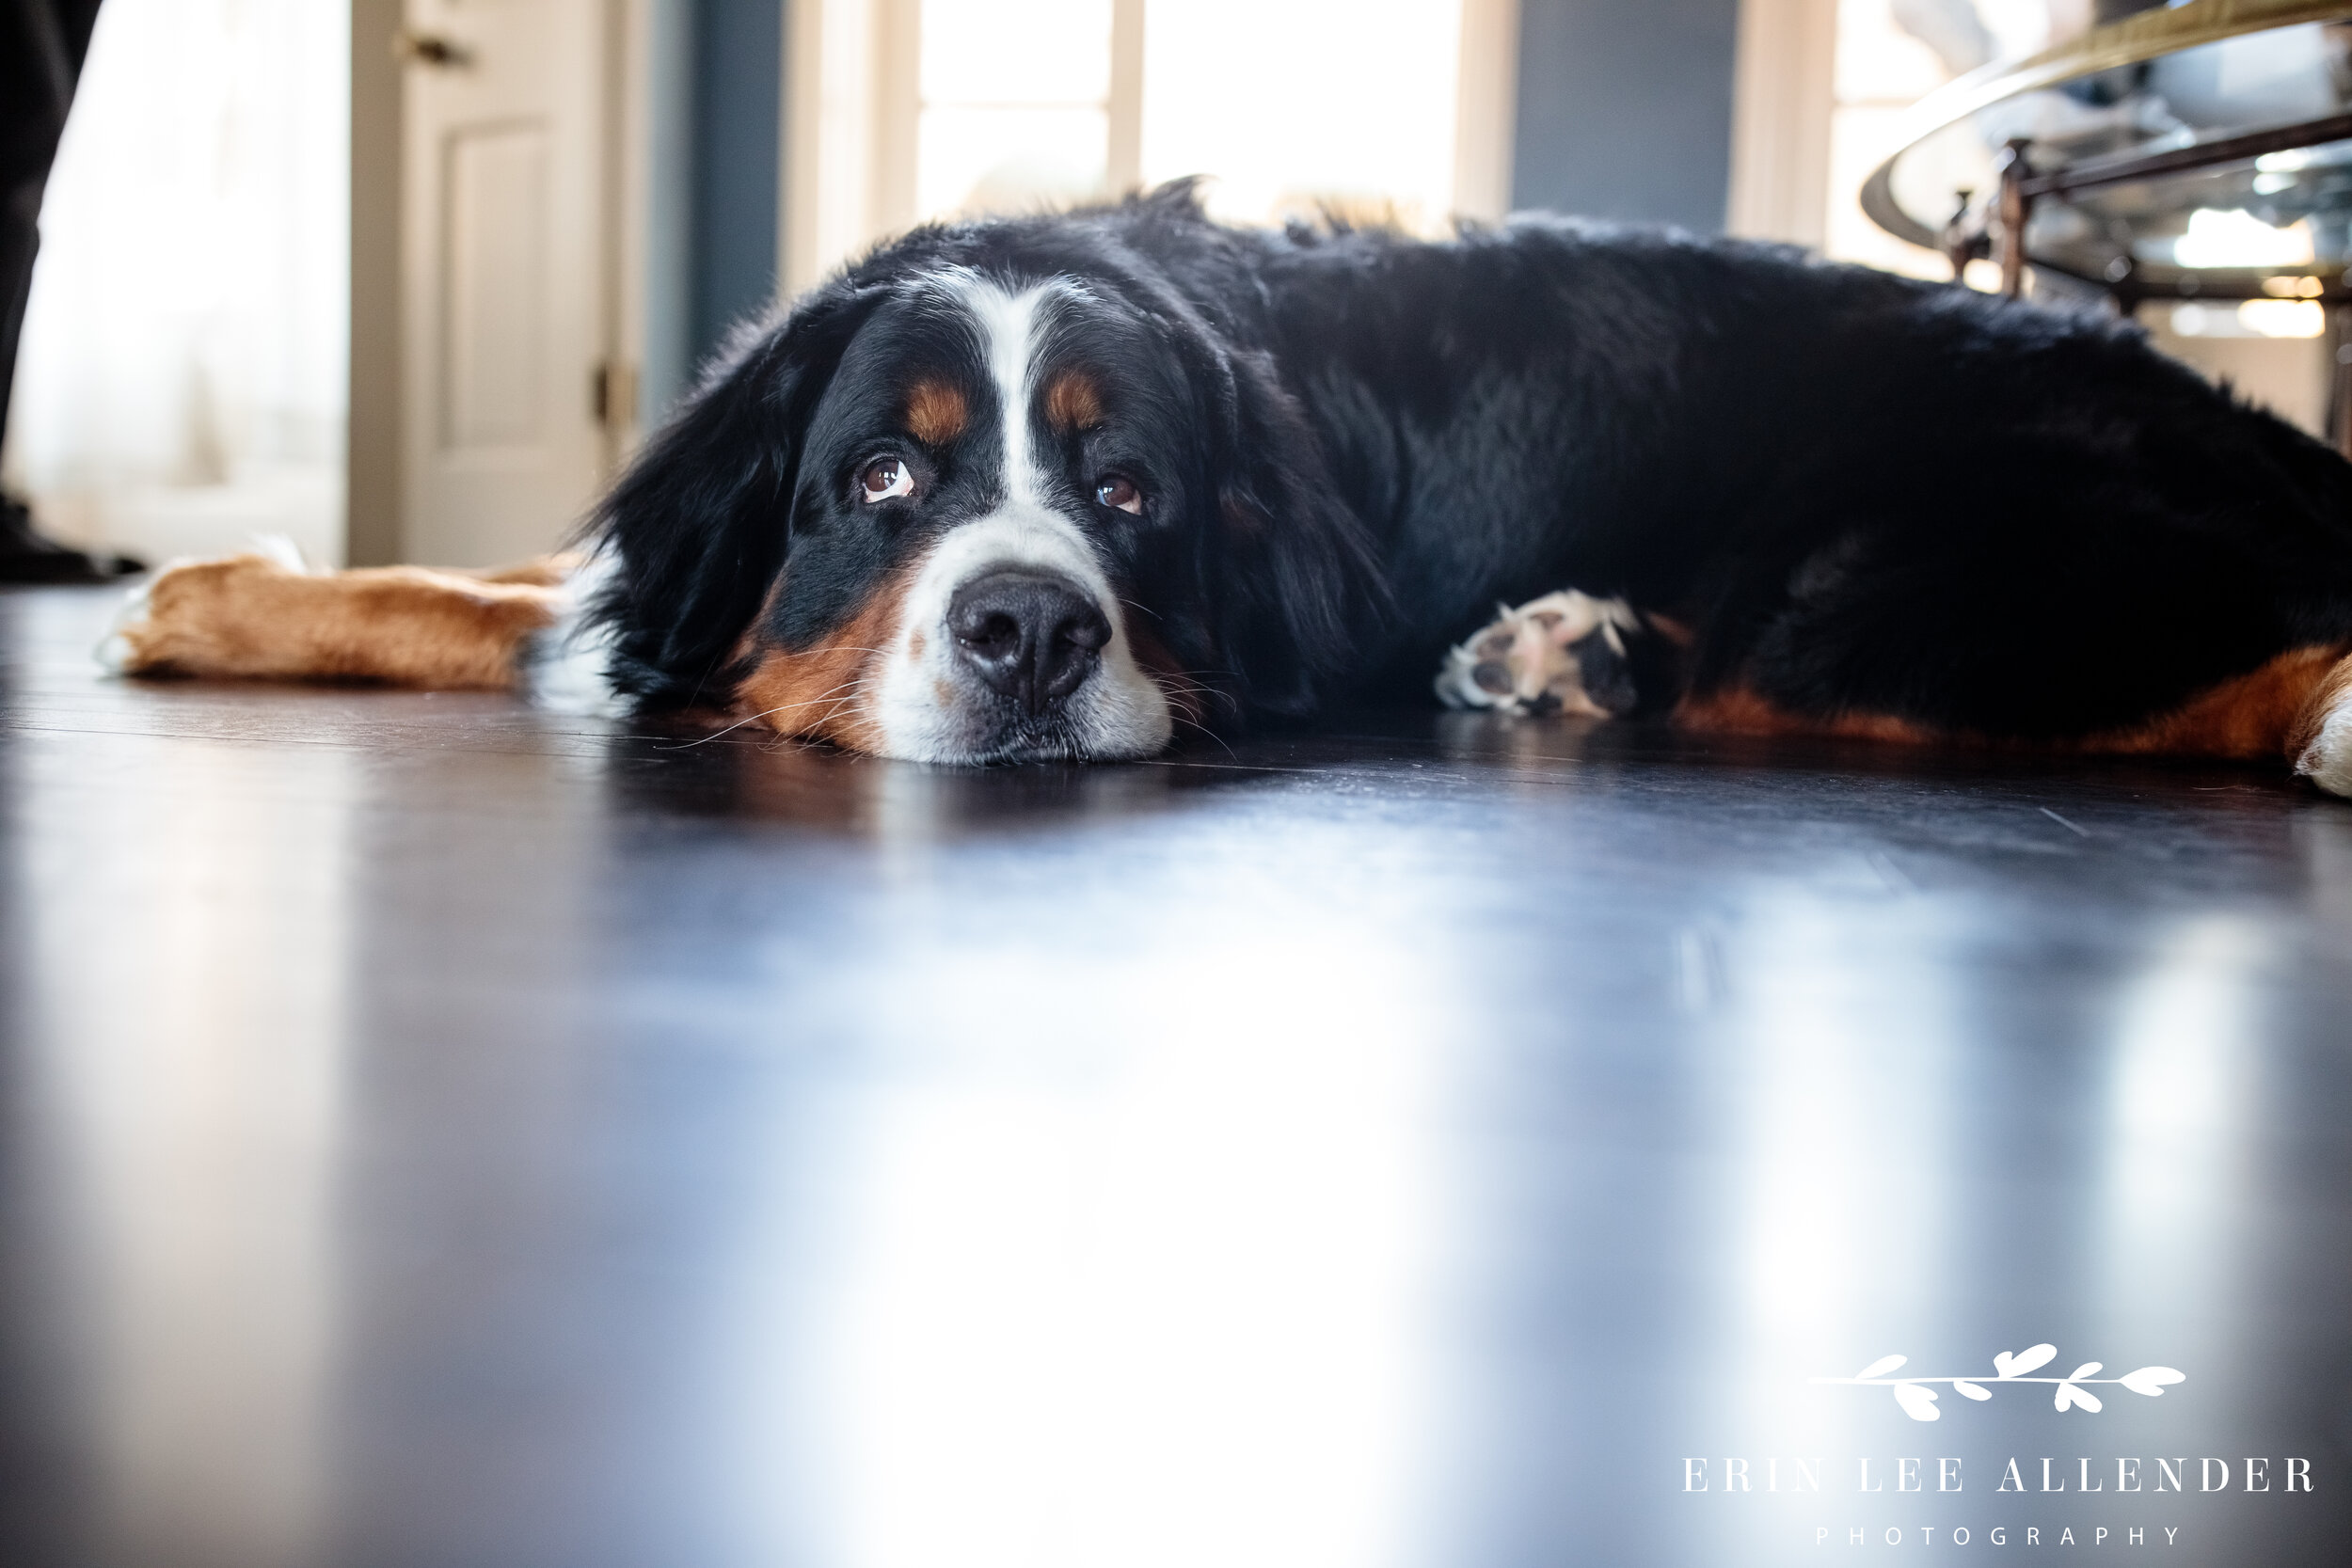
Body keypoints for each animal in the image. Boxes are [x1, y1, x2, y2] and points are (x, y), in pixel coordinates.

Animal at [105, 184, 2352, 799]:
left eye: (1130, 492)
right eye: (882, 473)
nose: (1025, 630)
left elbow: (529, 615)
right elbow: (530, 583)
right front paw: (234, 581)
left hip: (1878, 594)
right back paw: (1564, 652)